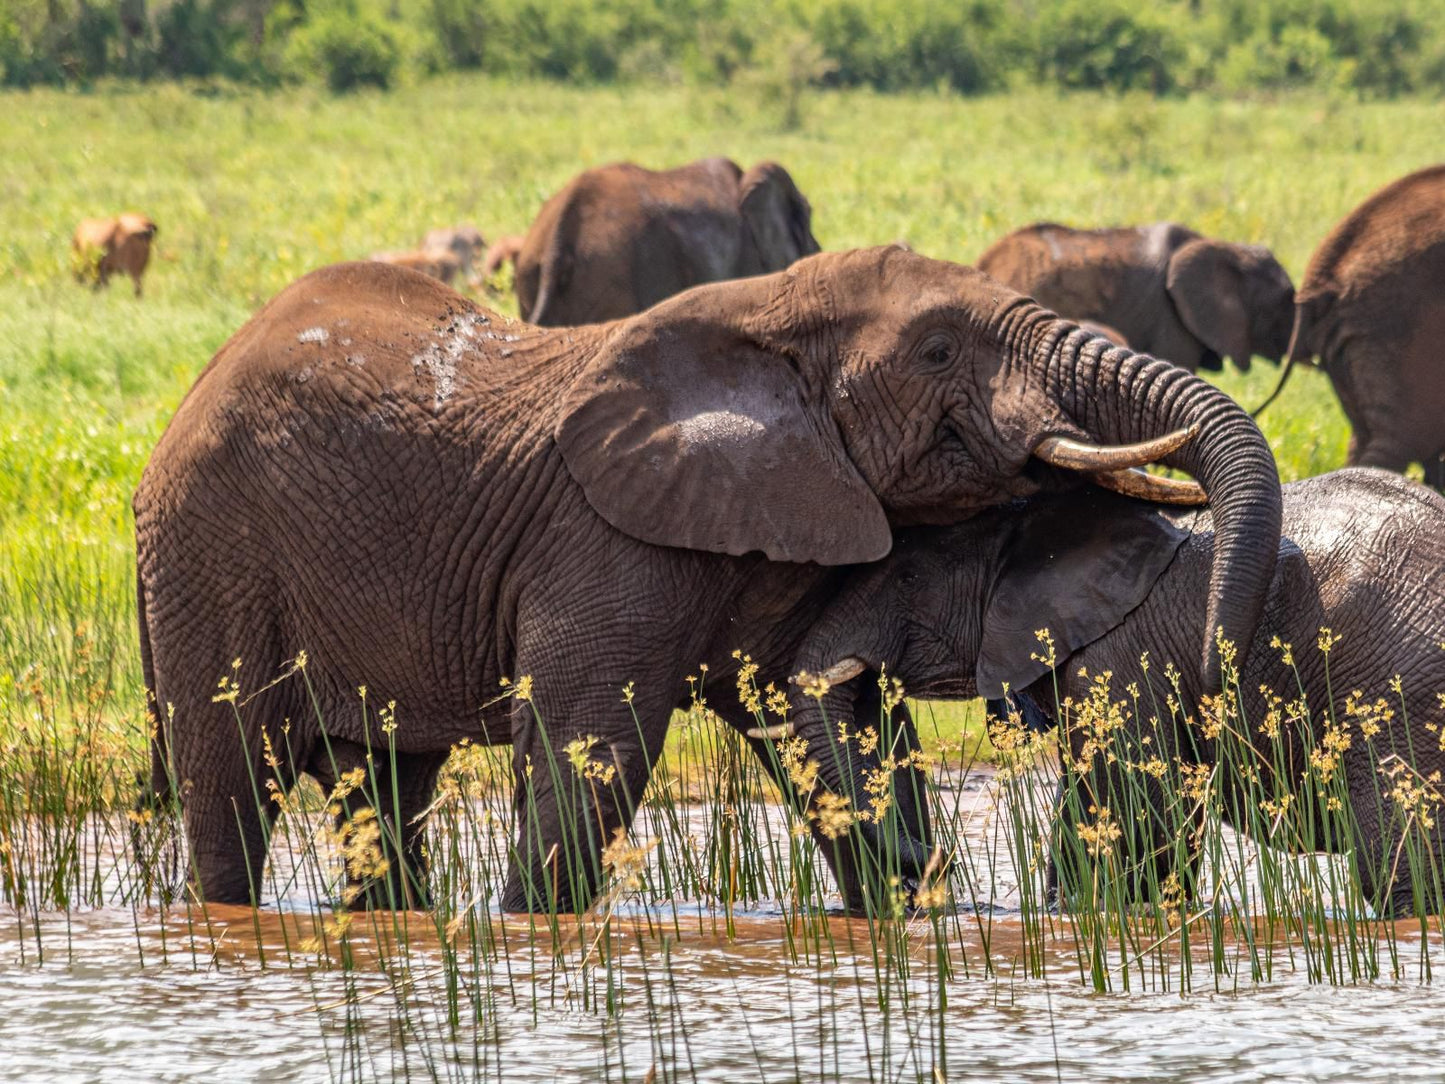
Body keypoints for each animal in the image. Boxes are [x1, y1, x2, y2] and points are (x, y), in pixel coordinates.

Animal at [135, 248, 1283, 919]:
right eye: (936, 349)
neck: (762, 315)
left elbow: (831, 715)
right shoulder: (604, 533)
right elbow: (594, 741)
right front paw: (531, 926)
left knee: (383, 781)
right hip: (209, 552)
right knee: (229, 779)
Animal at [791, 471, 1445, 919]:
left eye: (906, 578)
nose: (932, 866)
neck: (1036, 528)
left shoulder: (1120, 655)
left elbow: (1135, 813)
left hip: (1400, 688)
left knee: (1401, 862)